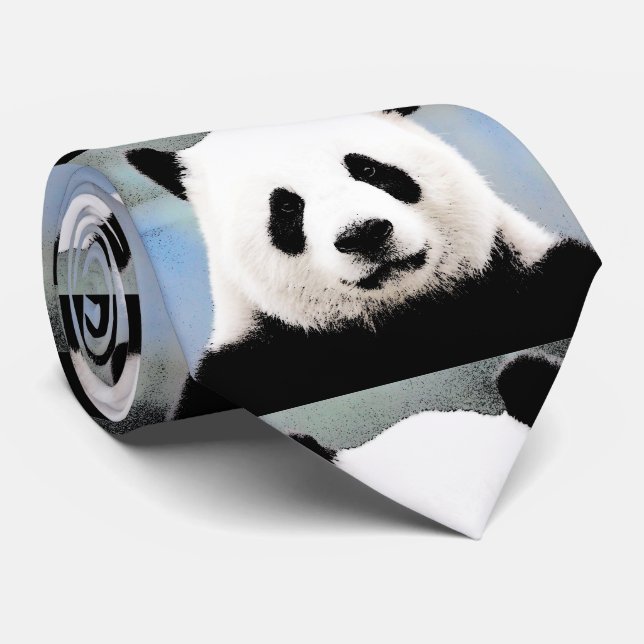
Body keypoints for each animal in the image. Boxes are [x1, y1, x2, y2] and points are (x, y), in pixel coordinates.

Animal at [126, 107, 600, 417]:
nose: (365, 233)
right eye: (286, 207)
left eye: (368, 170)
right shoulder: (259, 360)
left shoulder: (531, 279)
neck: (408, 315)